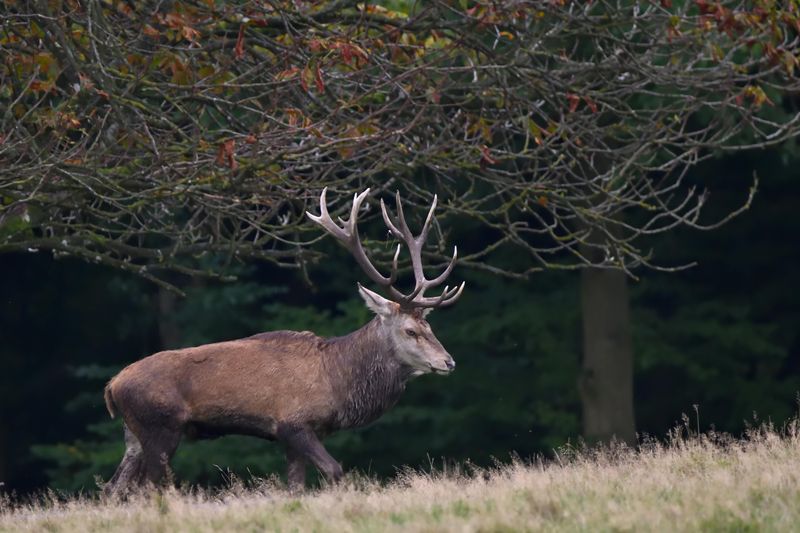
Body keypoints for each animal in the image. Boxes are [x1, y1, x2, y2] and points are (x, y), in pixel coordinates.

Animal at [101, 188, 465, 496]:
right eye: (410, 330)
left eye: (429, 325)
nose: (449, 361)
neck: (338, 381)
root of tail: (112, 386)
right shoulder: (293, 423)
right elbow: (334, 470)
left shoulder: (293, 436)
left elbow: (295, 487)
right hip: (160, 426)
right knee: (147, 487)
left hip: (133, 435)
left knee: (113, 488)